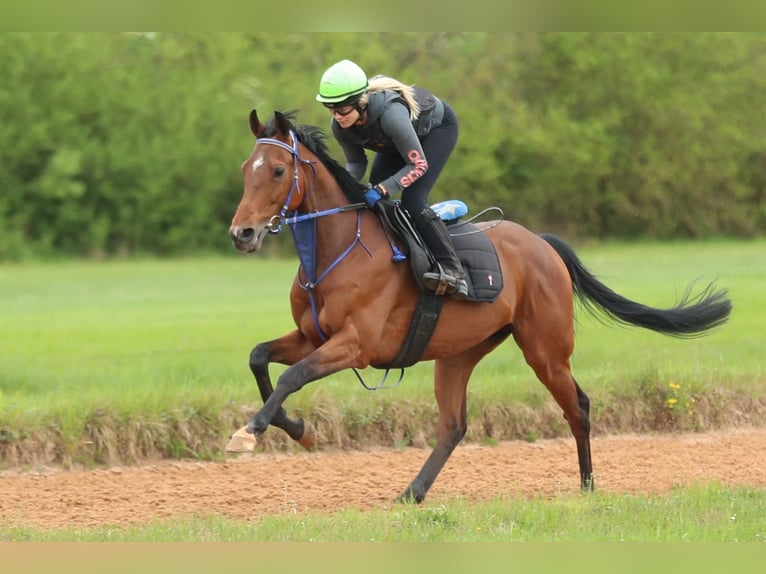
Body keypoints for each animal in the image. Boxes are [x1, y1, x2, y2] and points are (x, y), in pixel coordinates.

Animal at [226, 110, 732, 506]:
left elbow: (292, 376)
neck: (337, 250)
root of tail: (541, 244)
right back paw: (412, 492)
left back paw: (588, 486)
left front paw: (251, 432)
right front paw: (297, 428)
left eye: (276, 171)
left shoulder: (356, 345)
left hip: (546, 350)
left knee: (578, 406)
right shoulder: (313, 337)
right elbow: (259, 357)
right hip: (458, 352)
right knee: (454, 425)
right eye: (246, 169)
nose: (242, 234)